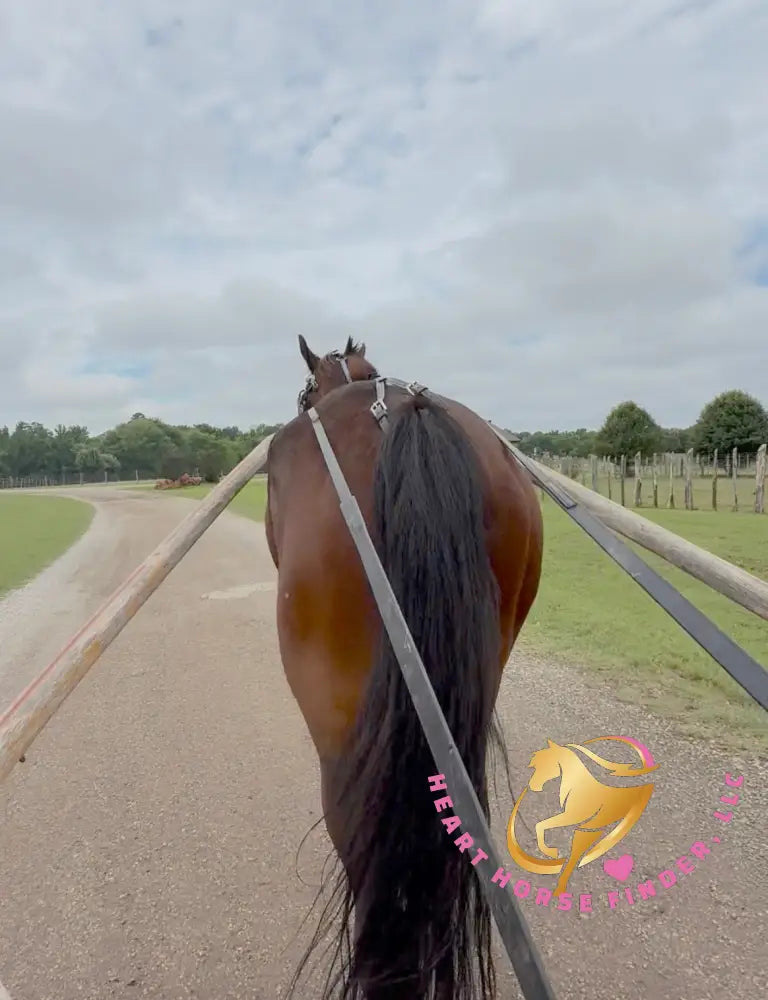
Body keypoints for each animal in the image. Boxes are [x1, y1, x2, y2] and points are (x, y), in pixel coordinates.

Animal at [507, 739, 657, 897]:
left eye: (543, 763)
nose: (532, 785)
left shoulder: (573, 818)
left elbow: (541, 825)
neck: (581, 788)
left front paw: (550, 851)